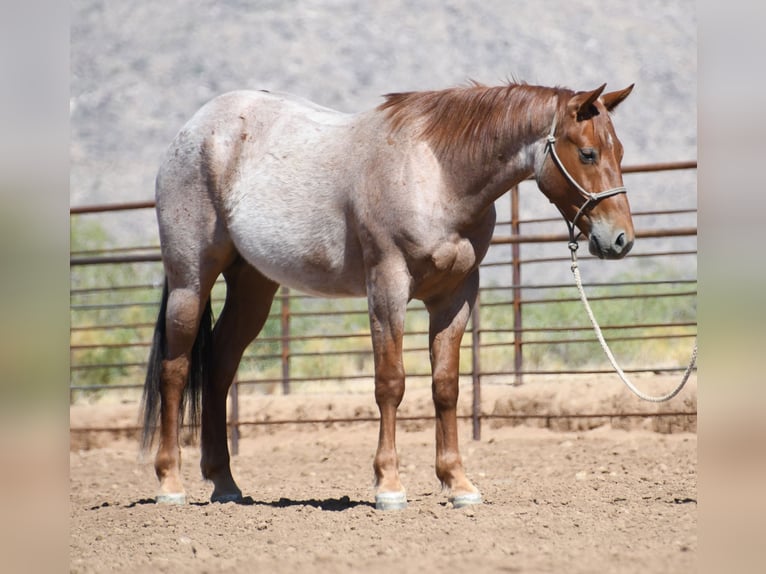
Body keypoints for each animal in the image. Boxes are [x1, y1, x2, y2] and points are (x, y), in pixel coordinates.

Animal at [141, 81, 635, 510]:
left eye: (620, 152)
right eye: (587, 153)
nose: (621, 240)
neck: (436, 175)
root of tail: (195, 129)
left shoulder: (455, 296)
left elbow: (446, 387)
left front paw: (458, 484)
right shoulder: (387, 288)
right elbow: (391, 383)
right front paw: (389, 486)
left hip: (252, 287)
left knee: (219, 367)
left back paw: (224, 483)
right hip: (190, 280)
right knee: (176, 370)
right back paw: (169, 482)